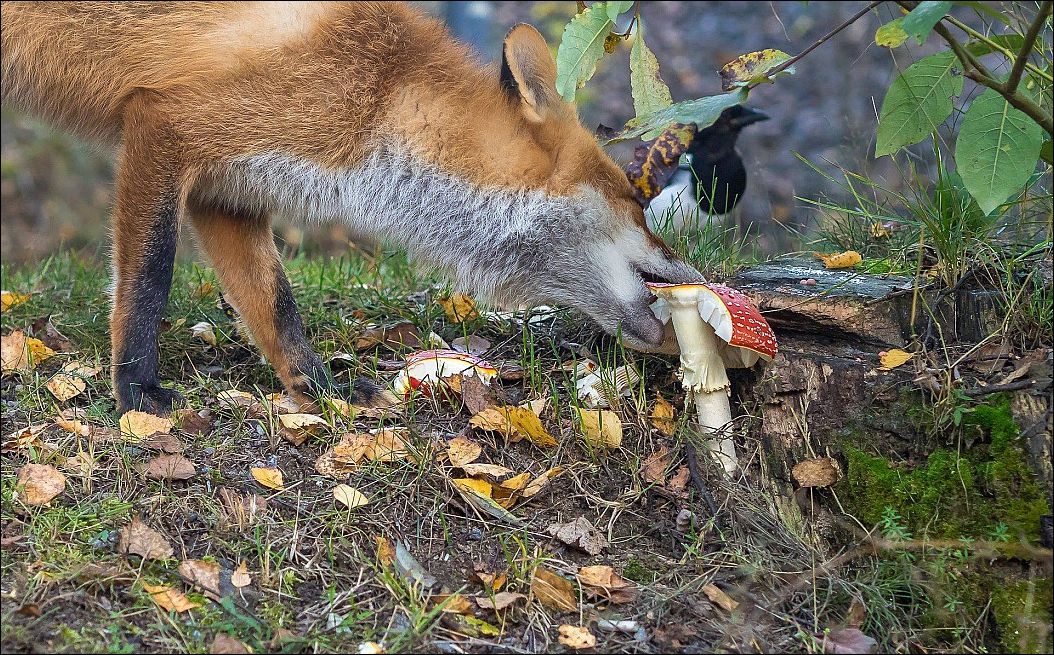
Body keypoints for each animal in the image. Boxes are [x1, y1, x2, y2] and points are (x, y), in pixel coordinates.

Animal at [1, 1, 704, 416]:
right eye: (636, 200)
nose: (697, 274)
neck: (380, 98)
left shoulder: (224, 191)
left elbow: (275, 306)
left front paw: (317, 389)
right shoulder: (164, 126)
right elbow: (147, 279)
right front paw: (136, 392)